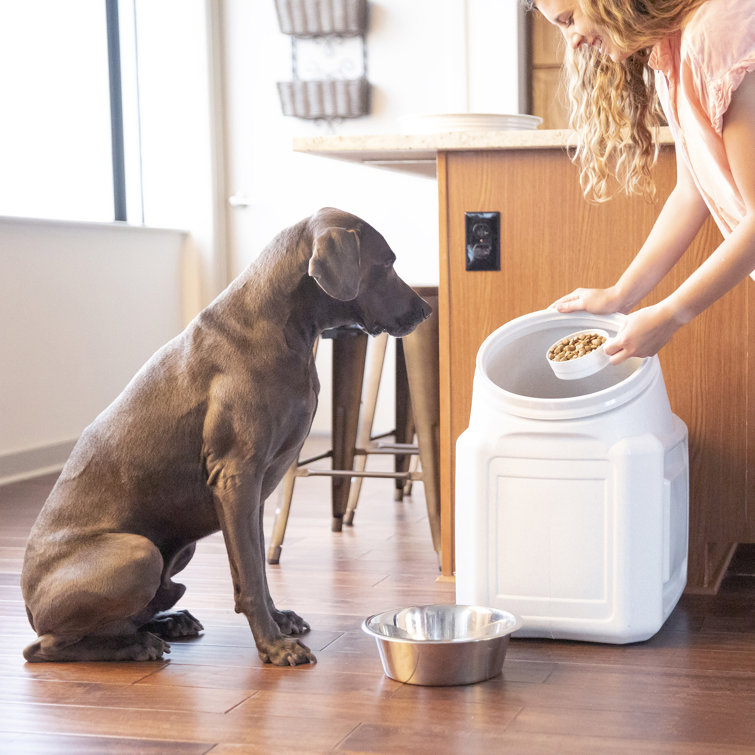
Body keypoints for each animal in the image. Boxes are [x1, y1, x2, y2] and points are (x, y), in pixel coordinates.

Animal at [20, 208, 432, 668]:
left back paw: (170, 622)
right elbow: (250, 576)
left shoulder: (257, 488)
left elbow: (259, 569)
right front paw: (273, 646)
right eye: (386, 263)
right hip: (139, 554)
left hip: (178, 550)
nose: (426, 309)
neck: (283, 327)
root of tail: (28, 606)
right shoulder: (236, 478)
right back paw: (136, 645)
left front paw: (278, 620)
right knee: (45, 647)